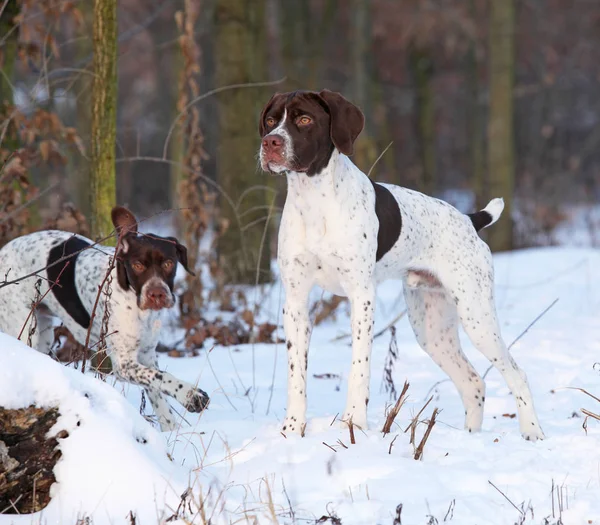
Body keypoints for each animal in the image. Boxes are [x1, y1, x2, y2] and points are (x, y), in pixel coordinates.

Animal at [0, 206, 210, 430]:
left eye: (169, 263)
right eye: (137, 265)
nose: (157, 294)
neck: (136, 304)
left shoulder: (147, 354)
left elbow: (159, 393)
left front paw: (170, 430)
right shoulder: (124, 365)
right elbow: (162, 377)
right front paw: (190, 395)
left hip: (43, 335)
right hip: (25, 330)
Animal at [258, 89, 544, 438]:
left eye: (304, 119)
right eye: (271, 120)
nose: (270, 143)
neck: (314, 202)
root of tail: (469, 219)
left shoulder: (361, 297)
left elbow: (359, 369)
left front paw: (354, 424)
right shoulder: (296, 302)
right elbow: (296, 373)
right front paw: (293, 427)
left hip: (477, 317)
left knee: (517, 374)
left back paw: (533, 432)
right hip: (432, 331)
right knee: (473, 382)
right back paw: (470, 437)